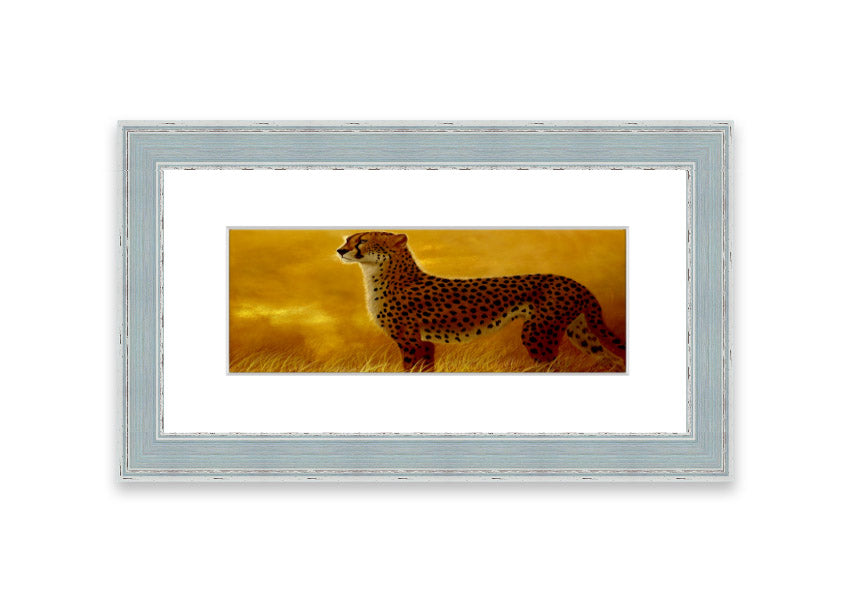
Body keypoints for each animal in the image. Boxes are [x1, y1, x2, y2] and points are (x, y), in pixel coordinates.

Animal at [337, 231, 626, 372]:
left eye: (362, 241)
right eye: (348, 239)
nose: (340, 250)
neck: (379, 272)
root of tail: (573, 281)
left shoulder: (410, 341)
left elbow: (411, 369)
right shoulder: (424, 341)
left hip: (538, 332)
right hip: (578, 331)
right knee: (611, 358)